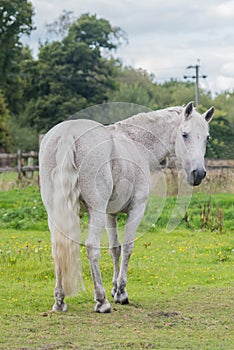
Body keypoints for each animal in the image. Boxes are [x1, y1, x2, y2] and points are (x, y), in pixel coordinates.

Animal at [38, 100, 214, 312]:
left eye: (206, 138)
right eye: (185, 134)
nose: (198, 174)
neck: (137, 143)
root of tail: (68, 134)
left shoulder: (110, 214)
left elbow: (115, 249)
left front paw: (115, 289)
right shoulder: (136, 209)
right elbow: (128, 247)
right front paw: (121, 293)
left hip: (56, 213)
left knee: (58, 248)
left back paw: (60, 300)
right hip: (95, 212)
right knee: (92, 248)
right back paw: (101, 301)